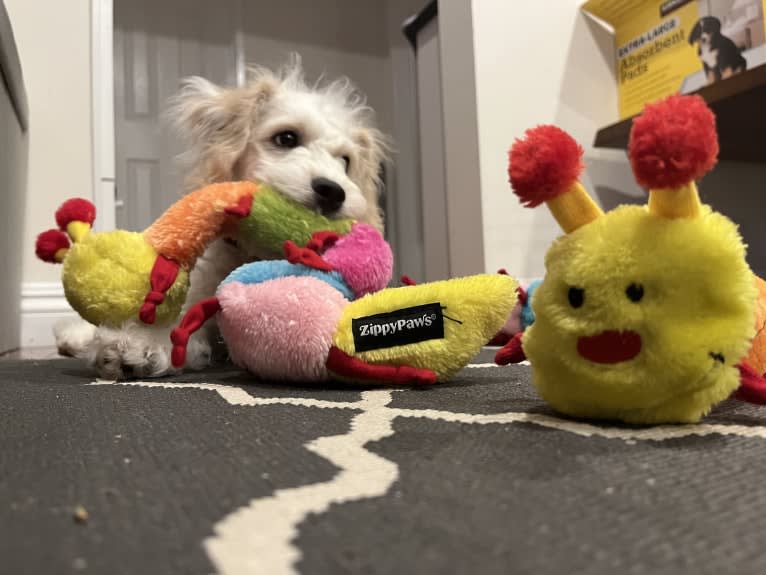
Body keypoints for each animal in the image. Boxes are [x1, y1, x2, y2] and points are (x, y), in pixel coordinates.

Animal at [56, 58, 390, 380]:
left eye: (346, 162)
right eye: (286, 138)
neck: (254, 254)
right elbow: (180, 321)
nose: (333, 192)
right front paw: (143, 343)